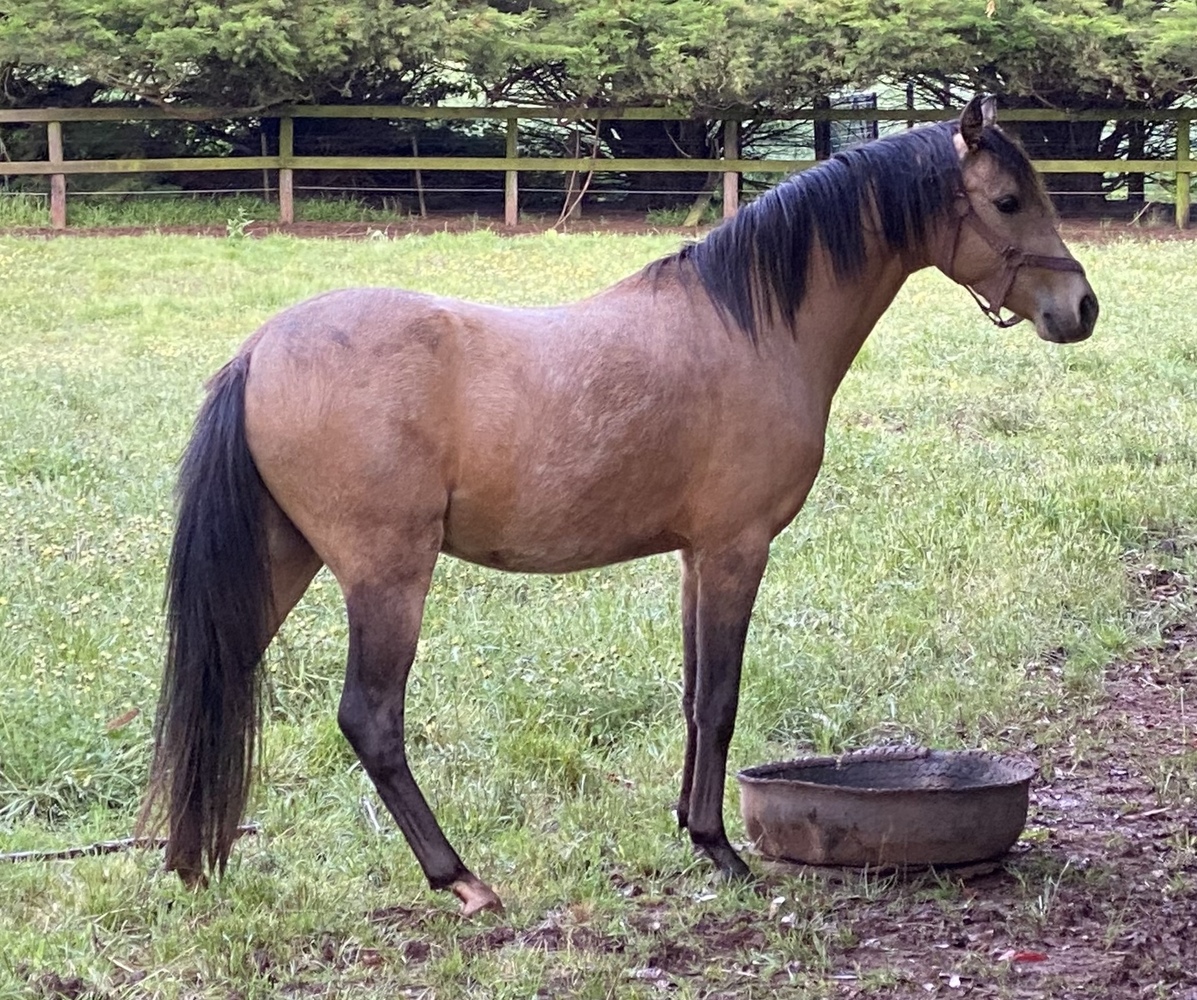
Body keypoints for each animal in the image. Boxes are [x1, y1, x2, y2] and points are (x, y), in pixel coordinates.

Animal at [140, 95, 1098, 916]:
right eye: (1007, 200)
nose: (1079, 308)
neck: (749, 327)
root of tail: (259, 351)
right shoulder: (735, 549)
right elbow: (719, 699)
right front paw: (718, 848)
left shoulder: (694, 557)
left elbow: (690, 693)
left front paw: (689, 829)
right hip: (386, 576)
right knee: (370, 721)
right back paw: (461, 879)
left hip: (283, 561)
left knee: (219, 682)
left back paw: (192, 861)